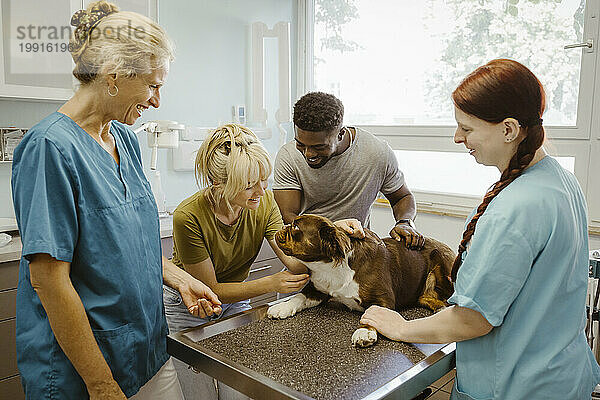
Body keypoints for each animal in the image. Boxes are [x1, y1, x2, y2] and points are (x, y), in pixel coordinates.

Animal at [268, 216, 454, 346]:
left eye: (296, 227)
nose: (282, 227)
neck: (328, 266)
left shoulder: (384, 299)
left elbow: (372, 312)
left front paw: (365, 332)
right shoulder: (317, 291)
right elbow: (299, 297)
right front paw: (282, 307)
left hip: (442, 262)